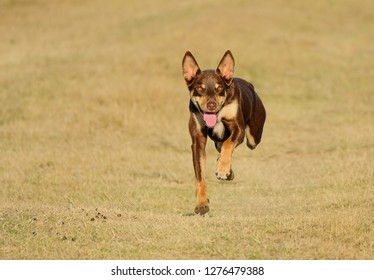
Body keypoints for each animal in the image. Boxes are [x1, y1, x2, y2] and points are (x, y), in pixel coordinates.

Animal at [181, 50, 266, 215]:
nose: (211, 105)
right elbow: (200, 176)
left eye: (218, 88)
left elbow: (229, 144)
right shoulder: (198, 140)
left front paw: (222, 169)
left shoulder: (238, 129)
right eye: (200, 88)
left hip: (253, 138)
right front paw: (202, 204)